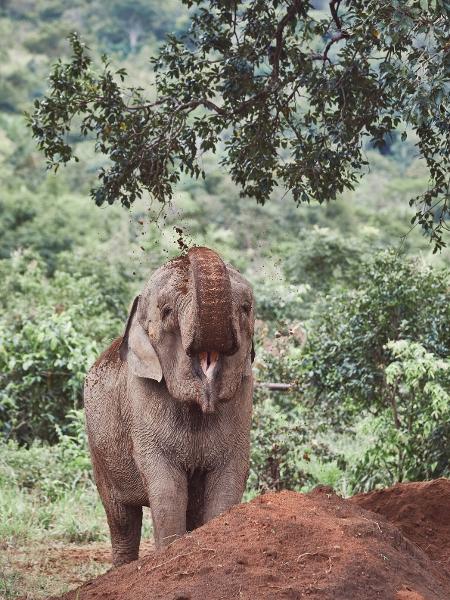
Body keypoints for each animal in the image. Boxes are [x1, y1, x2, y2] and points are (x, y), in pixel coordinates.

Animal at [83, 246, 253, 564]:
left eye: (246, 309)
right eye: (166, 312)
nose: (188, 249)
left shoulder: (243, 398)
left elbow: (230, 476)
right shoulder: (141, 400)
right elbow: (165, 484)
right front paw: (171, 555)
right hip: (98, 450)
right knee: (121, 517)